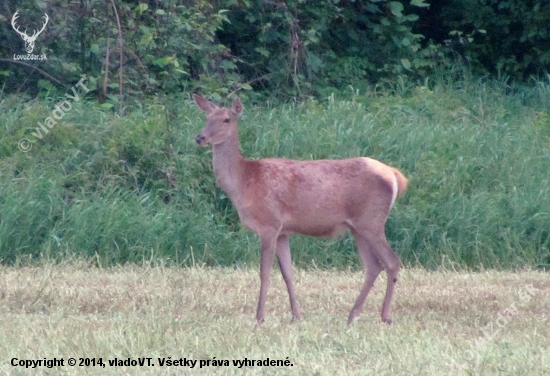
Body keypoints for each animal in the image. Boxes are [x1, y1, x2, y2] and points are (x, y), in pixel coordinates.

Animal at [194, 94, 410, 324]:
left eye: (226, 119)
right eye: (207, 117)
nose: (200, 137)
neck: (244, 182)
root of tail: (395, 175)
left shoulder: (269, 224)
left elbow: (264, 272)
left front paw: (260, 317)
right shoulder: (283, 231)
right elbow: (287, 273)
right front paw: (296, 315)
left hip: (372, 221)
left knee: (392, 261)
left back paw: (385, 316)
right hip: (358, 227)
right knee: (373, 265)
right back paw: (352, 316)